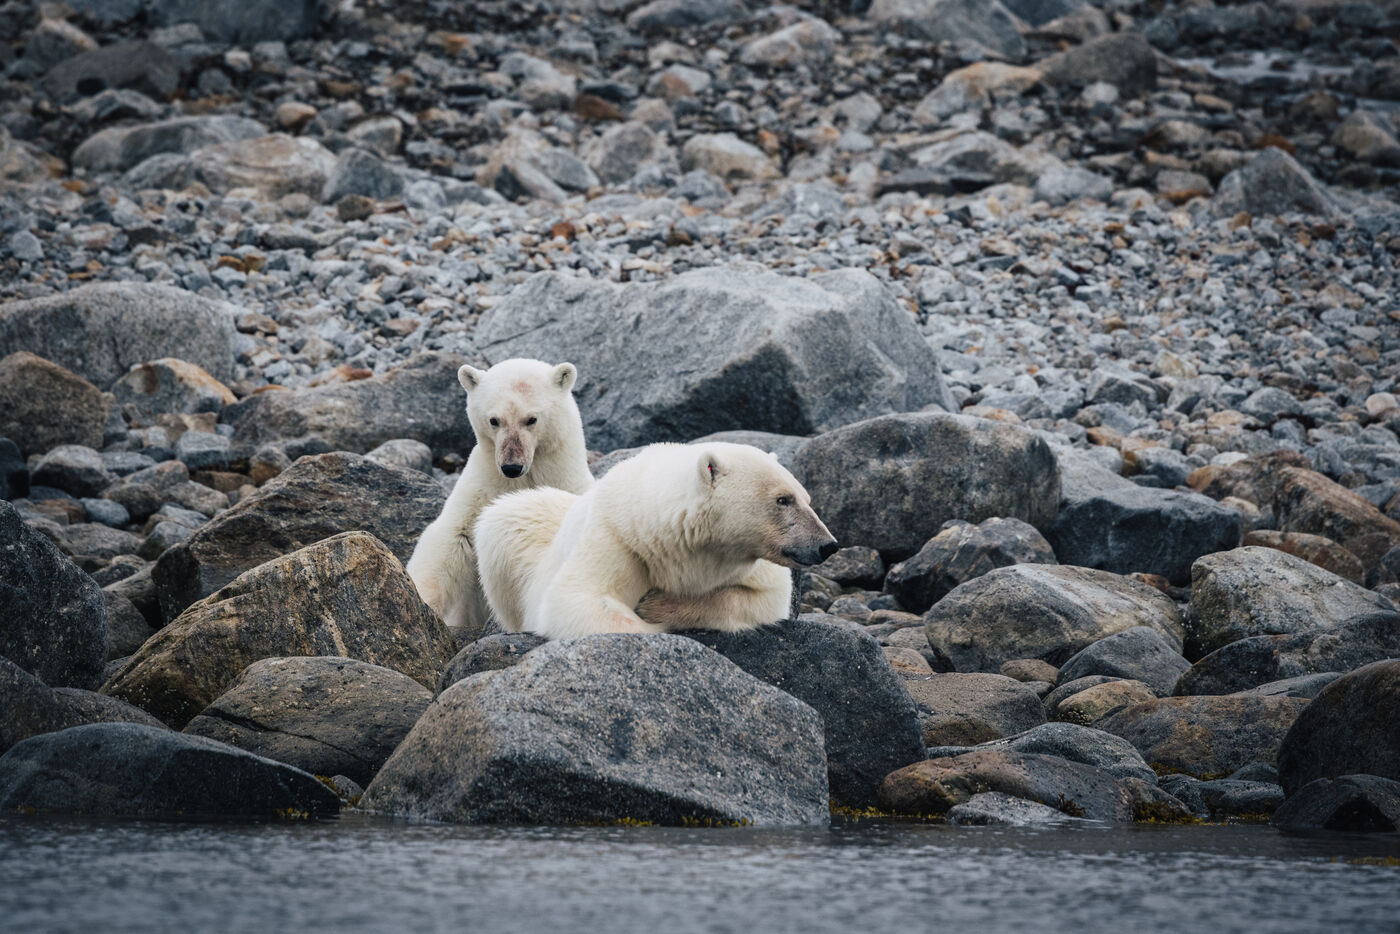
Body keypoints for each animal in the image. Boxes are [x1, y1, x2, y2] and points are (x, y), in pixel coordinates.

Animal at [405, 358, 594, 642]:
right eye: (494, 420)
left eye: (531, 419)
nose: (511, 467)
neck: (525, 477)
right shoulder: (482, 487)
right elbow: (453, 537)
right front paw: (422, 601)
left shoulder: (567, 483)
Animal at [474, 441, 838, 639]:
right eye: (783, 499)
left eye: (807, 498)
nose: (828, 544)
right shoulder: (617, 539)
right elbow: (577, 600)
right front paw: (651, 622)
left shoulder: (750, 567)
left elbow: (764, 597)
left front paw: (658, 605)